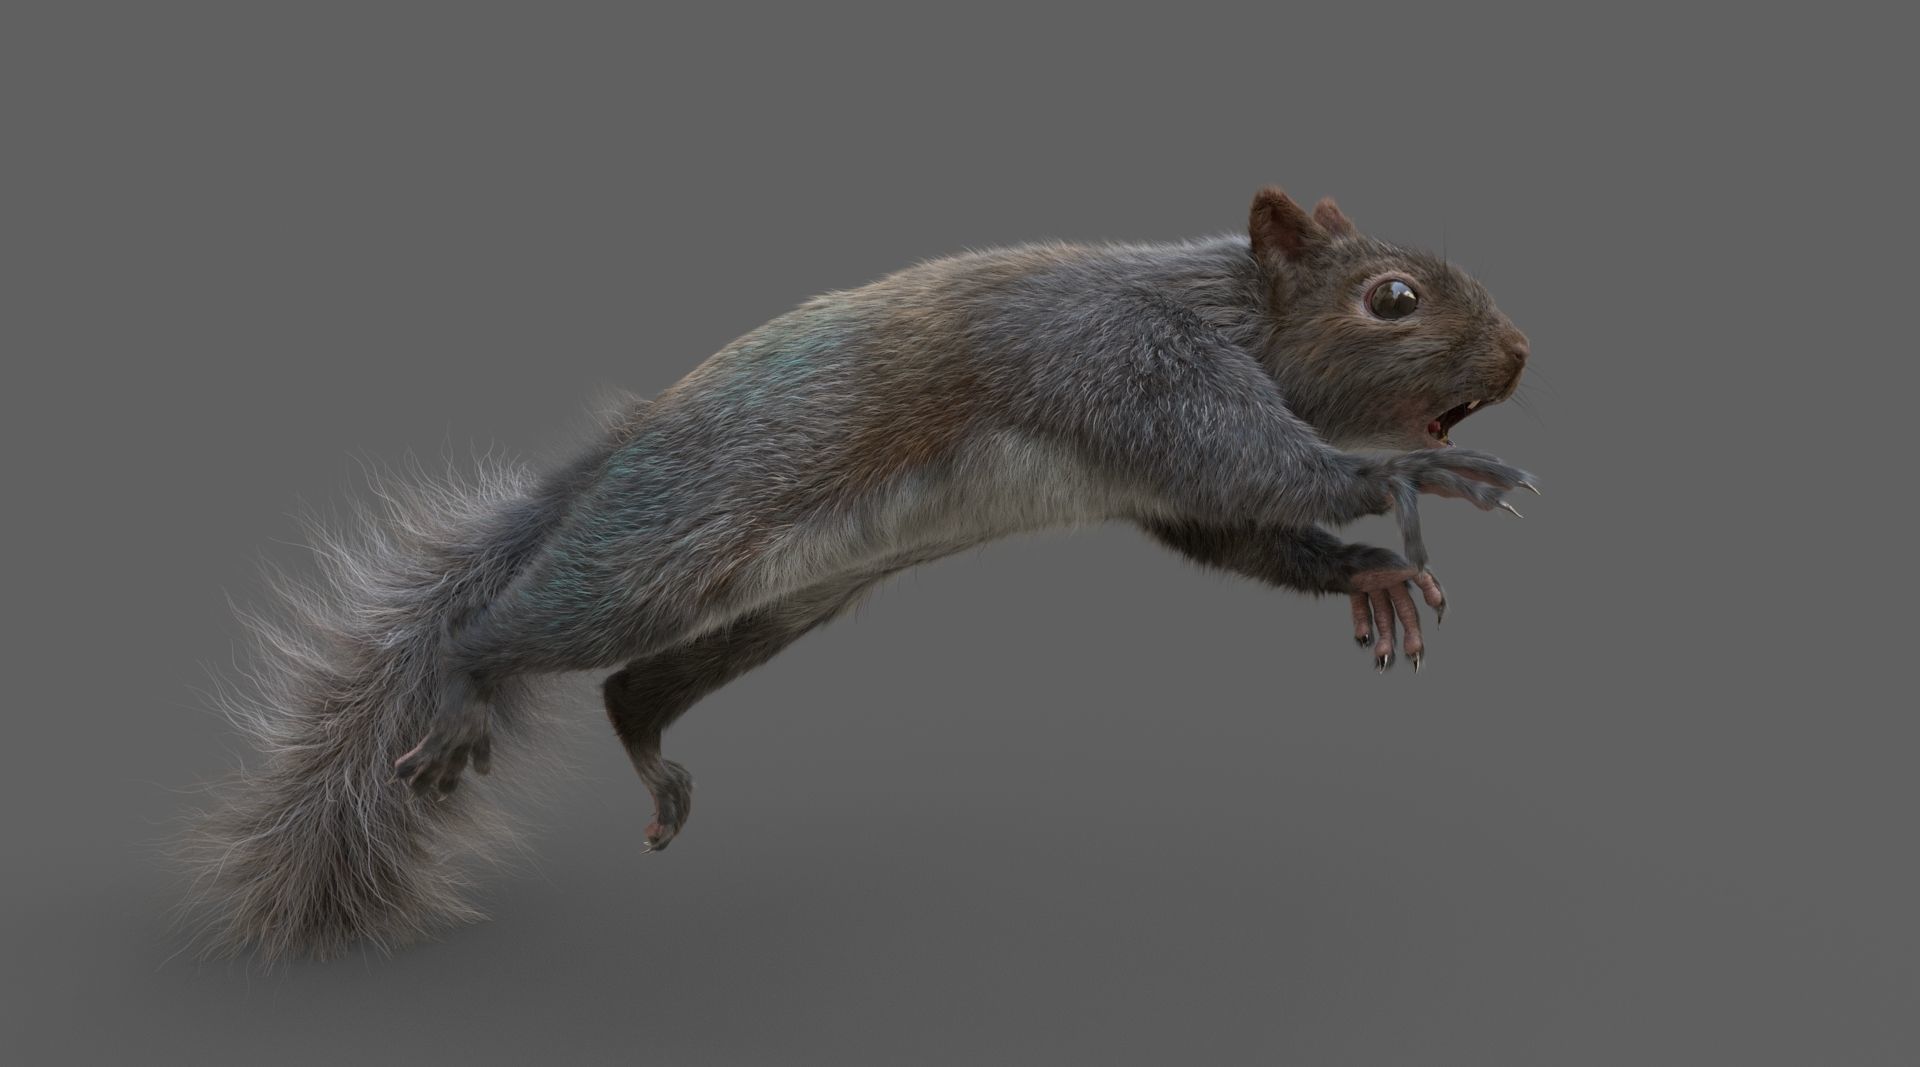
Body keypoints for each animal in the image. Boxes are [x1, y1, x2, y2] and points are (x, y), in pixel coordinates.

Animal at [179, 186, 1536, 961]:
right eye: (1393, 297)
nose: (1522, 350)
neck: (1226, 303)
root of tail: (610, 457)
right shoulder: (1129, 365)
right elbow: (1255, 463)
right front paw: (1409, 481)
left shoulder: (1155, 474)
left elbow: (1231, 525)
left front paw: (1367, 575)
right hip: (664, 551)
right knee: (516, 629)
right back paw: (465, 685)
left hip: (777, 604)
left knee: (633, 686)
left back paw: (649, 747)